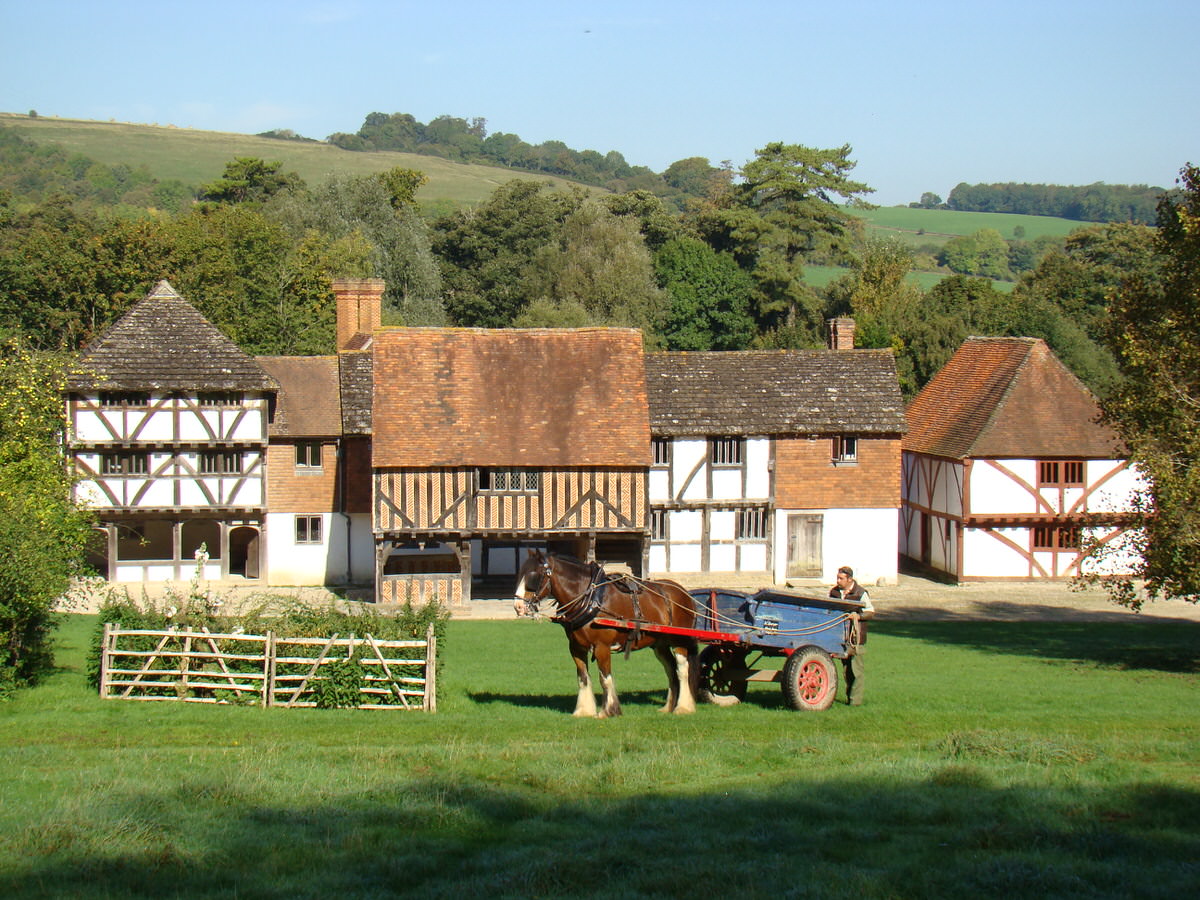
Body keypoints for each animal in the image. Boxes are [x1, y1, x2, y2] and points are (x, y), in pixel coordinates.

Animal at [513, 549, 700, 720]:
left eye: (533, 576)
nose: (518, 607)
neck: (591, 599)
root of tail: (683, 592)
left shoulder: (601, 646)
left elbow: (605, 678)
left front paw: (608, 711)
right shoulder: (576, 647)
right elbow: (583, 678)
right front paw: (583, 710)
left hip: (679, 640)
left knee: (682, 669)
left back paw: (683, 707)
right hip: (659, 644)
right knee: (670, 670)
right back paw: (668, 707)